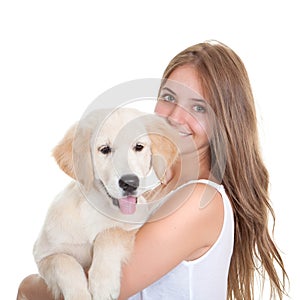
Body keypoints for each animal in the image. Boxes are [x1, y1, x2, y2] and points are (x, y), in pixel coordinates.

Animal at [32, 108, 178, 300]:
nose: (130, 183)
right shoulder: (43, 254)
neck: (99, 209)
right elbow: (63, 261)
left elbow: (110, 233)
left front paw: (103, 283)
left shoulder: (134, 229)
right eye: (105, 149)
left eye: (138, 147)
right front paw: (79, 295)